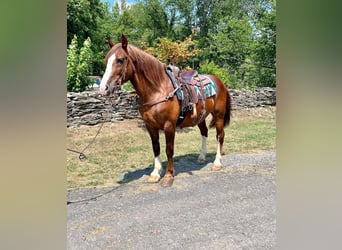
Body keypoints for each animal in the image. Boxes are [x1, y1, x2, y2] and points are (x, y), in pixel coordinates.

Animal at [99, 35, 232, 188]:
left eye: (120, 60)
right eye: (106, 61)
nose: (103, 88)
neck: (158, 90)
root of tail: (220, 82)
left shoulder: (169, 126)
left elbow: (169, 150)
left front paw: (168, 176)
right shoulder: (150, 126)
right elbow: (156, 148)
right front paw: (155, 174)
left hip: (219, 115)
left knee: (220, 136)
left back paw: (217, 163)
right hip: (201, 116)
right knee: (204, 133)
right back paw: (202, 157)